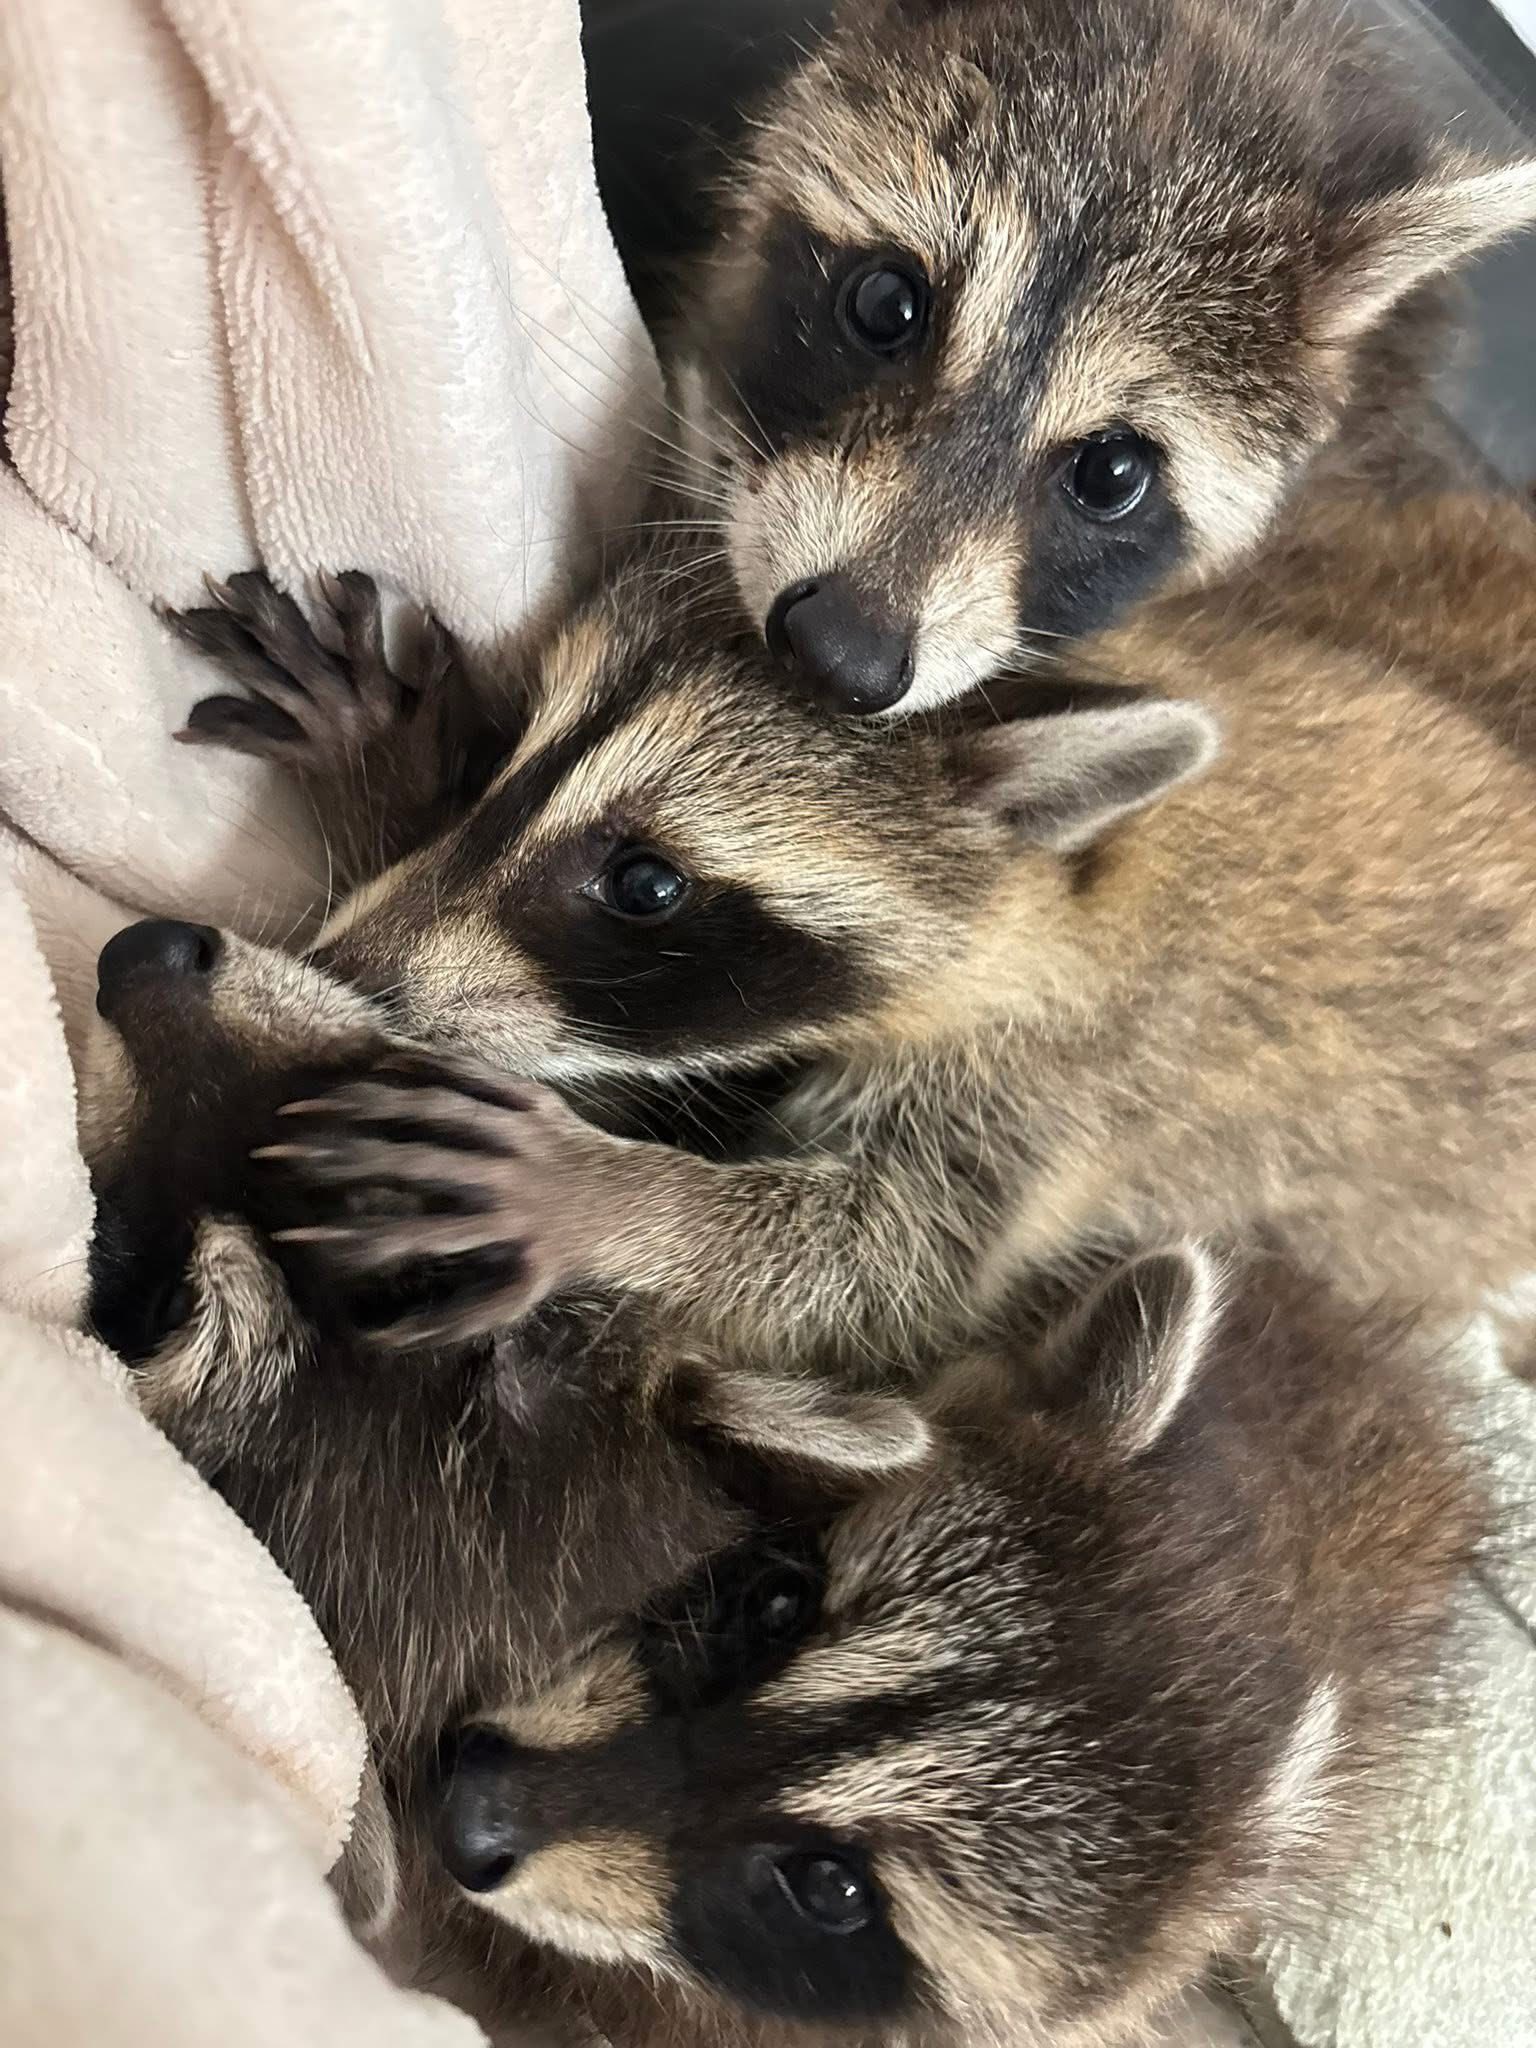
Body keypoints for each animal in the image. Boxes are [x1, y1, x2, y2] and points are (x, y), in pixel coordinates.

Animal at [171, 485, 1536, 1368]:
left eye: (645, 884)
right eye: (499, 752)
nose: (339, 967)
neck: (1058, 879)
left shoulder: (1070, 1086)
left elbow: (886, 1271)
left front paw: (618, 1198)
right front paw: (387, 766)